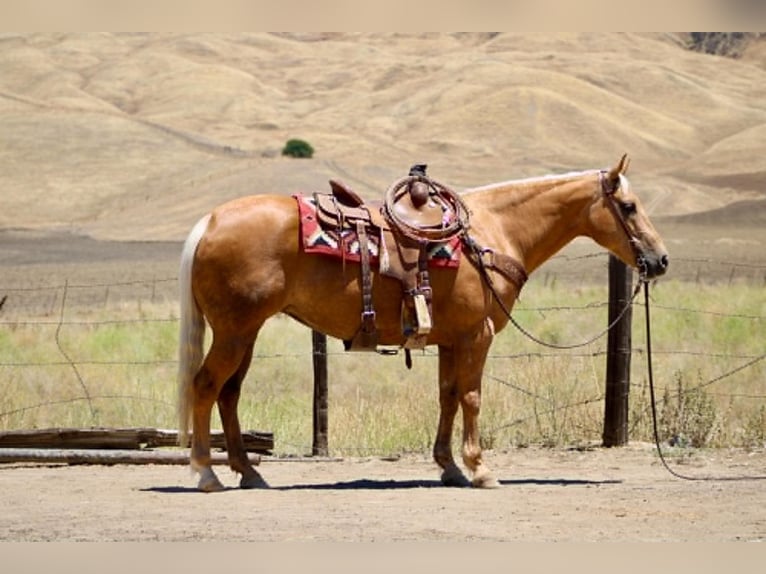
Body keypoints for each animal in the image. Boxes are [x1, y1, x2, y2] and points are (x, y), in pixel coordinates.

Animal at [177, 154, 668, 492]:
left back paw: (248, 472)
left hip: (246, 333)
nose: (660, 260)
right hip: (234, 332)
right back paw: (206, 474)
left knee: (229, 394)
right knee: (205, 386)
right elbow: (472, 397)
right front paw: (481, 469)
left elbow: (447, 397)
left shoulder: (451, 340)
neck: (491, 232)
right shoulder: (476, 336)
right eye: (628, 206)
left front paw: (449, 466)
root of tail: (210, 222)